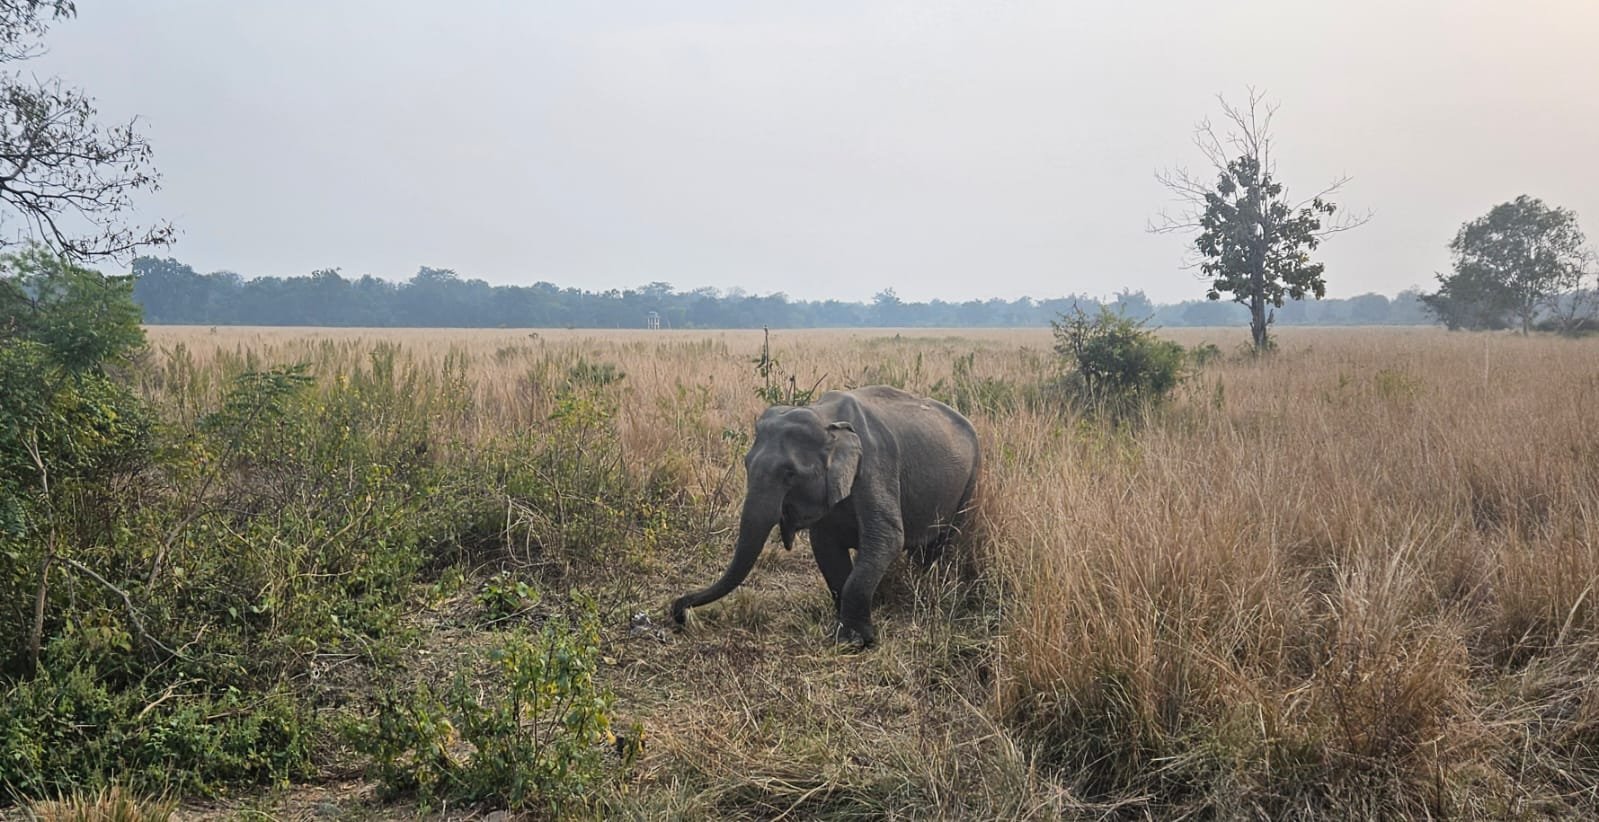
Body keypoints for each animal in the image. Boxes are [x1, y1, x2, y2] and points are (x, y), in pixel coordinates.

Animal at [670, 385, 981, 647]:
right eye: (746, 464)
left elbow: (887, 538)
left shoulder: (876, 466)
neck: (826, 417)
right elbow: (825, 547)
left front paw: (855, 642)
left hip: (970, 483)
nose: (678, 614)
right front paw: (844, 626)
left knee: (944, 542)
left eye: (789, 474)